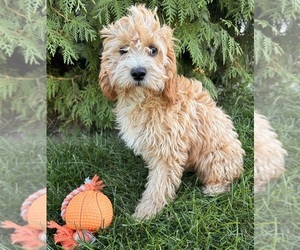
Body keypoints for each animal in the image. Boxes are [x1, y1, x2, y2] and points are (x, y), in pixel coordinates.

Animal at [99, 4, 245, 219]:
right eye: (122, 50)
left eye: (153, 50)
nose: (138, 72)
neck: (147, 100)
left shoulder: (168, 149)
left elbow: (159, 183)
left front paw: (146, 213)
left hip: (215, 155)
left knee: (223, 175)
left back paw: (214, 188)